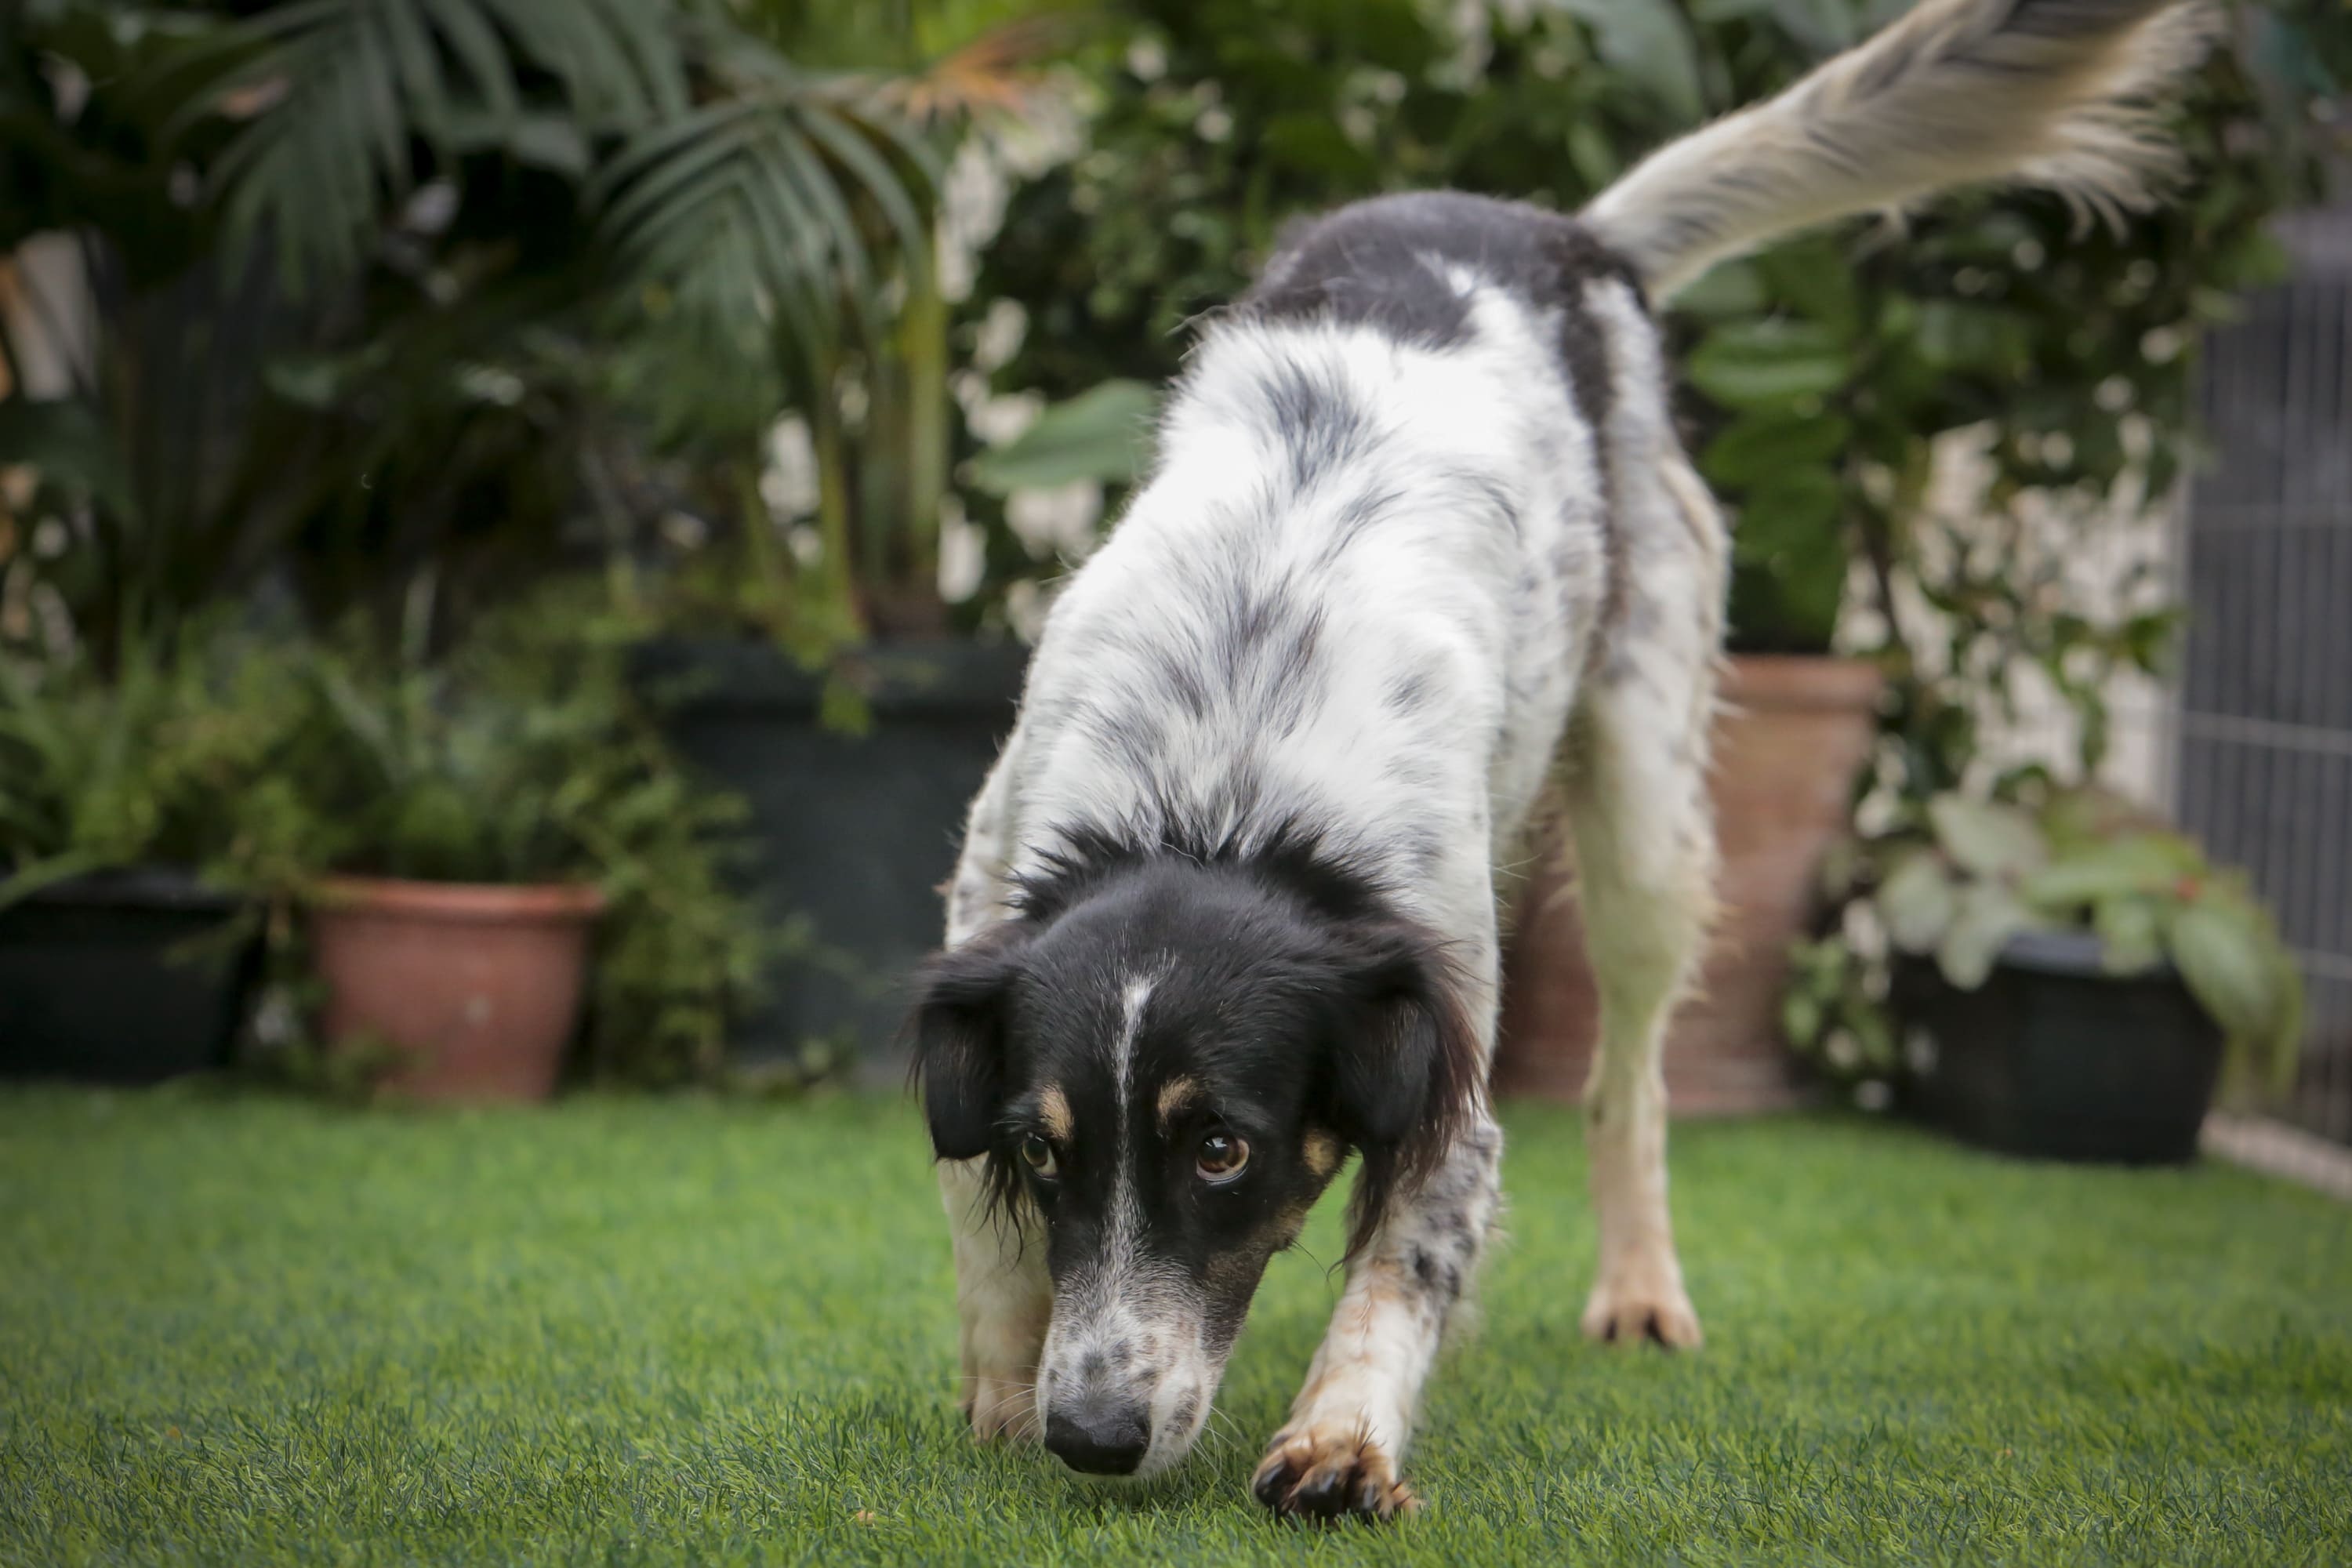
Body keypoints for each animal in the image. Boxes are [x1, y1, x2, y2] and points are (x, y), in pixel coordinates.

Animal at [910, 0, 2211, 1521]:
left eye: (1221, 1148)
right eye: (1045, 1149)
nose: (1096, 1435)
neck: (1218, 797)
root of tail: (1559, 233)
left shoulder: (1446, 1024)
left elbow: (1409, 1259)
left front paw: (1343, 1434)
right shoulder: (985, 903)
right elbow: (975, 1205)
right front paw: (1005, 1380)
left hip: (1646, 813)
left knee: (1629, 1082)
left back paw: (1641, 1289)